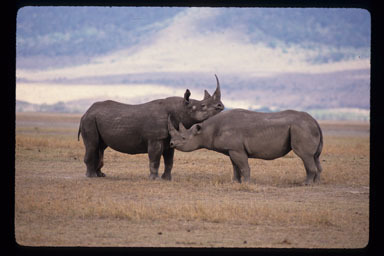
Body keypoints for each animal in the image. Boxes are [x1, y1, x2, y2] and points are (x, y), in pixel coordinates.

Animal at [77, 75, 225, 179]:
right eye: (203, 106)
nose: (221, 106)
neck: (180, 108)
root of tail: (86, 112)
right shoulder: (155, 138)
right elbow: (155, 158)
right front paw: (154, 178)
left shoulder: (169, 138)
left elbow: (169, 160)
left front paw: (167, 179)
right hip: (89, 121)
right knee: (92, 145)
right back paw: (91, 176)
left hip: (94, 119)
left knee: (100, 146)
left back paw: (101, 175)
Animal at [170, 109, 322, 185]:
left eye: (183, 139)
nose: (171, 144)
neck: (205, 131)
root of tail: (315, 120)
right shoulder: (231, 149)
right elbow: (235, 167)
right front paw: (235, 182)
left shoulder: (236, 149)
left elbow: (244, 166)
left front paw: (247, 184)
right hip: (306, 128)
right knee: (315, 157)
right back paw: (317, 183)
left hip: (301, 128)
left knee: (305, 155)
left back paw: (306, 184)